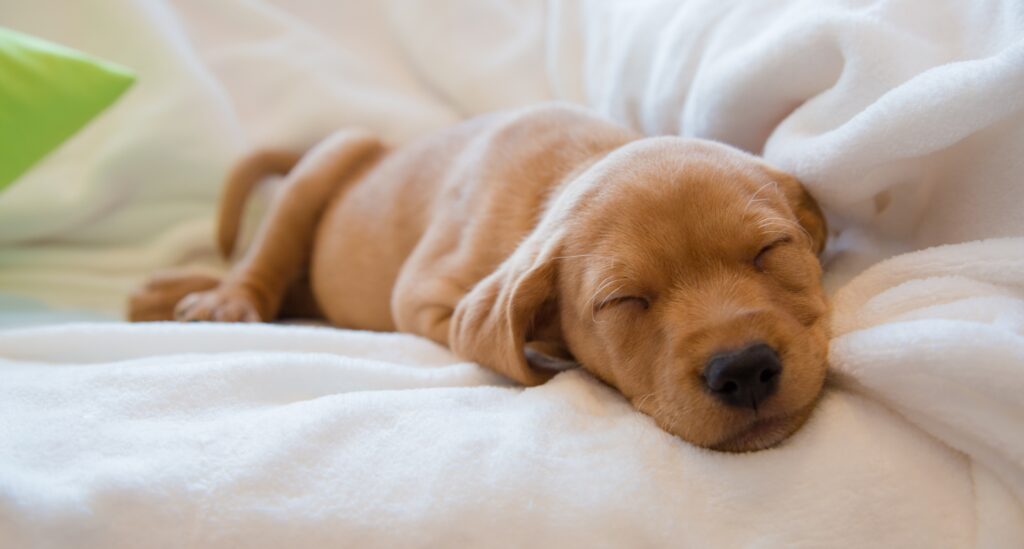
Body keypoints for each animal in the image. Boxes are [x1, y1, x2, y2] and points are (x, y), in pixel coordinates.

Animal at [130, 104, 831, 452]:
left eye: (771, 250)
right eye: (624, 300)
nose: (743, 370)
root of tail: (385, 148)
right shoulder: (427, 297)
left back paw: (162, 293)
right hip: (331, 157)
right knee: (261, 263)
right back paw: (216, 300)